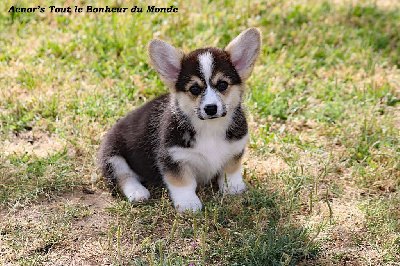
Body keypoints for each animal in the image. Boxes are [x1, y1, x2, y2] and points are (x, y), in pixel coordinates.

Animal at [99, 28, 262, 212]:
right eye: (194, 89)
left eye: (222, 85)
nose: (210, 108)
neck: (209, 128)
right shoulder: (173, 158)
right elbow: (183, 183)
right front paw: (188, 204)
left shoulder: (235, 149)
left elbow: (230, 171)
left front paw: (233, 188)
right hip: (112, 156)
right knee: (123, 176)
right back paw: (138, 192)